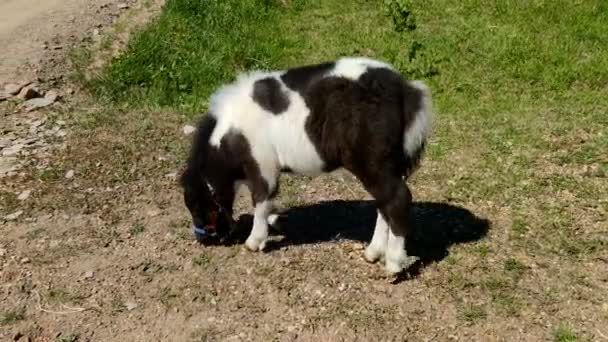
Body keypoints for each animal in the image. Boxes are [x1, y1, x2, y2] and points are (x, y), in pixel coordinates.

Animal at [180, 56, 432, 276]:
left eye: (196, 205)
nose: (202, 239)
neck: (229, 136)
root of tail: (407, 89)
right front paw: (277, 222)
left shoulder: (262, 164)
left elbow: (261, 199)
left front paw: (253, 242)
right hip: (384, 166)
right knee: (384, 203)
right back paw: (372, 254)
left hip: (373, 161)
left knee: (398, 199)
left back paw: (393, 265)